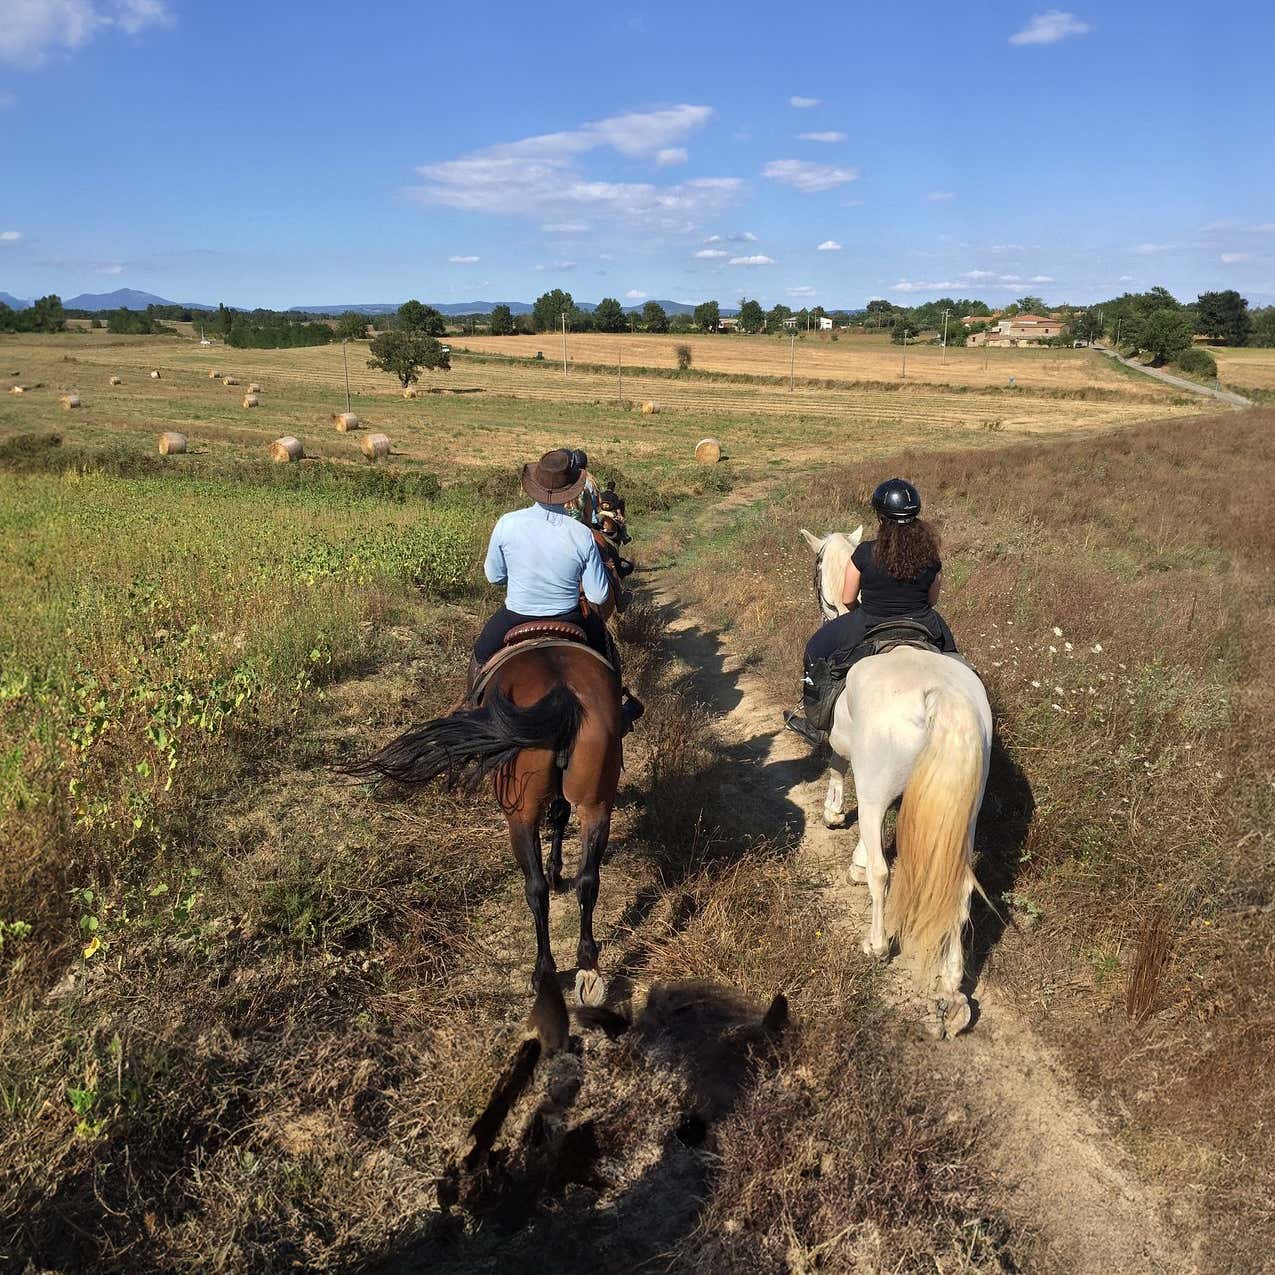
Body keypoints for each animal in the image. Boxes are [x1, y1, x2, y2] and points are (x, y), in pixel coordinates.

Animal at [348, 640, 622, 1010]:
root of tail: (563, 690)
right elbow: (560, 814)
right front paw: (557, 871)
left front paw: (553, 873)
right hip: (596, 806)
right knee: (589, 880)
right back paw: (589, 968)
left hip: (520, 814)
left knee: (534, 888)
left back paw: (543, 973)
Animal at [800, 527, 992, 1039]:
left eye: (817, 569)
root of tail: (940, 696)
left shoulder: (854, 762)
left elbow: (835, 765)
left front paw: (835, 821)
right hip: (965, 814)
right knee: (962, 889)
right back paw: (951, 989)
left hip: (876, 790)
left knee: (885, 875)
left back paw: (877, 943)